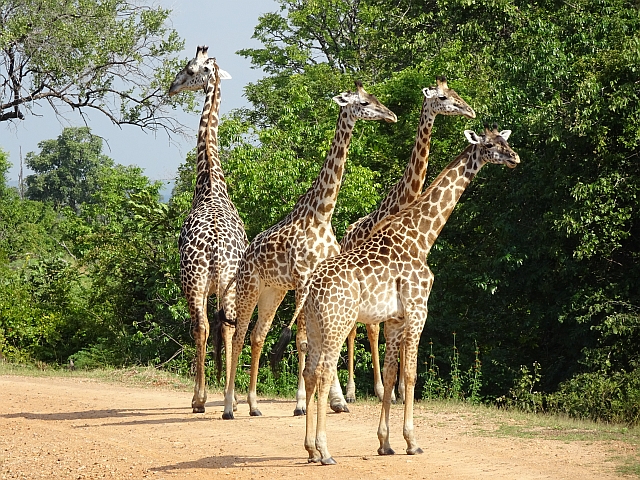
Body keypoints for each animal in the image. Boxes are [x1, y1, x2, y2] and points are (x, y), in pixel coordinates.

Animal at [222, 80, 398, 418]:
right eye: (364, 103)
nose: (392, 115)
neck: (322, 212)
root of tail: (244, 258)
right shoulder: (303, 278)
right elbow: (304, 341)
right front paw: (306, 403)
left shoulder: (316, 279)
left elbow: (321, 340)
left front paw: (337, 401)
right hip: (250, 287)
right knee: (238, 335)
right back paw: (228, 406)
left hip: (273, 291)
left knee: (257, 336)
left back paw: (253, 405)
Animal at [302, 125, 520, 464]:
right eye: (489, 145)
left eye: (505, 141)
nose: (514, 158)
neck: (422, 237)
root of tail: (311, 288)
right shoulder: (419, 309)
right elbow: (412, 375)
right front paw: (412, 441)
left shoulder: (395, 319)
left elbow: (392, 374)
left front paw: (385, 443)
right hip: (337, 322)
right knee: (324, 372)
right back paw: (325, 451)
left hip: (315, 324)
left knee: (310, 372)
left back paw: (311, 449)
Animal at [338, 77, 478, 406]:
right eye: (443, 97)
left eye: (454, 93)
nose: (470, 111)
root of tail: (345, 233)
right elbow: (378, 332)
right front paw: (384, 390)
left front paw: (401, 390)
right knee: (358, 330)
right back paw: (353, 391)